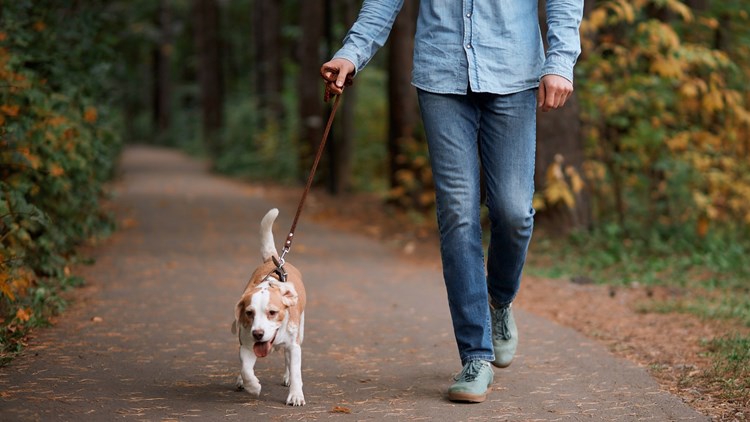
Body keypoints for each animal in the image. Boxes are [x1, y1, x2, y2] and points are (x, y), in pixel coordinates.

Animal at [232, 209, 308, 408]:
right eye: (249, 313)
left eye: (272, 312)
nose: (258, 333)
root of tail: (275, 261)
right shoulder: (247, 345)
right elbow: (246, 369)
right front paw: (252, 386)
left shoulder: (294, 346)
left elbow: (295, 371)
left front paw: (296, 395)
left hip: (300, 333)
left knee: (288, 361)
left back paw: (288, 378)